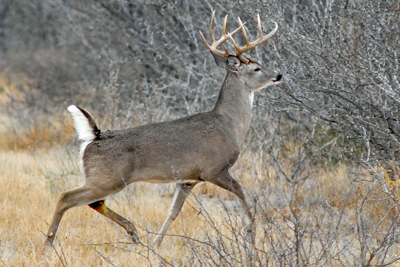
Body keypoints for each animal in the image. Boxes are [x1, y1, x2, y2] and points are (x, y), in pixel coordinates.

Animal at [45, 11, 282, 248]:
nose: (279, 75)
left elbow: (173, 212)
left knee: (93, 203)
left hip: (104, 178)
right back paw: (48, 243)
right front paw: (251, 235)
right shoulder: (214, 169)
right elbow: (243, 195)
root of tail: (94, 135)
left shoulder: (187, 179)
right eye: (256, 68)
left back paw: (133, 232)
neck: (229, 125)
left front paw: (156, 244)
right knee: (66, 197)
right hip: (107, 178)